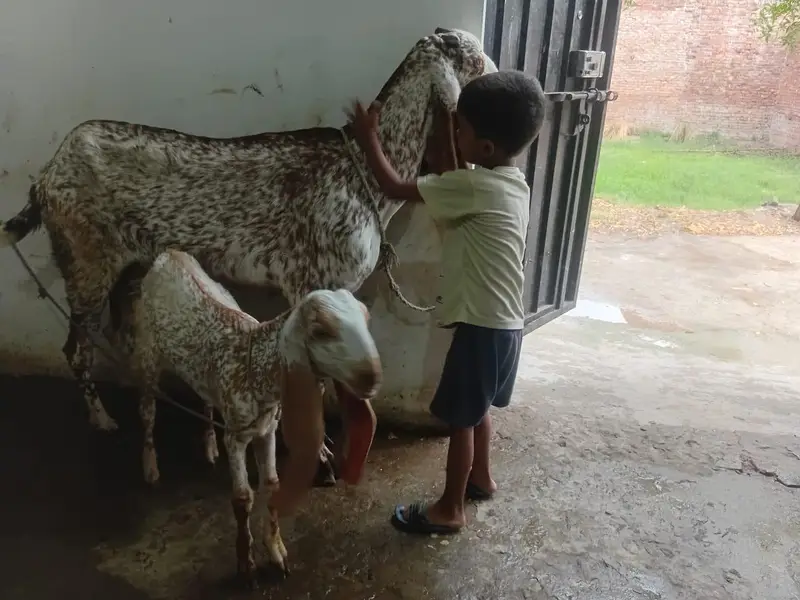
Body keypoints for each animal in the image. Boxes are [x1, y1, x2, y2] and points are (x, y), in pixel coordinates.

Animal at [0, 28, 496, 484]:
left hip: (127, 266)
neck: (364, 173)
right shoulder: (309, 283)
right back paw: (102, 419)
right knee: (76, 348)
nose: (499, 72)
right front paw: (320, 457)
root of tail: (47, 174)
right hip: (87, 261)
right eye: (477, 58)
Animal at [113, 249, 379, 585]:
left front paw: (276, 552)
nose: (372, 376)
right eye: (321, 331)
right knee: (147, 410)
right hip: (147, 353)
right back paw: (150, 467)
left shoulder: (266, 430)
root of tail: (169, 255)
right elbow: (242, 498)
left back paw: (209, 447)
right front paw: (246, 565)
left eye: (366, 320)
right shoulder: (237, 437)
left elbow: (273, 484)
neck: (254, 361)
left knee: (205, 401)